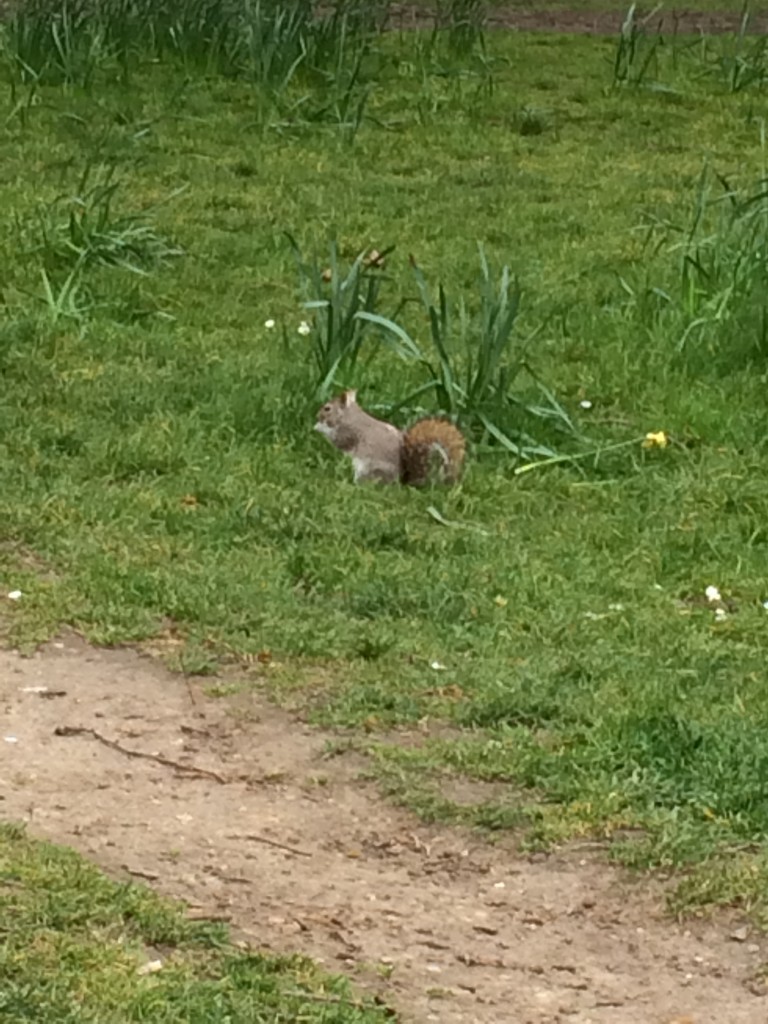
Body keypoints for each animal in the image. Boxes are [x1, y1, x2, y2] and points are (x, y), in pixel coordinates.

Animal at [313, 389, 468, 489]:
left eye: (327, 408)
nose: (317, 415)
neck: (350, 415)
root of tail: (401, 482)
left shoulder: (348, 433)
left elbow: (338, 440)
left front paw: (319, 427)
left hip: (368, 469)